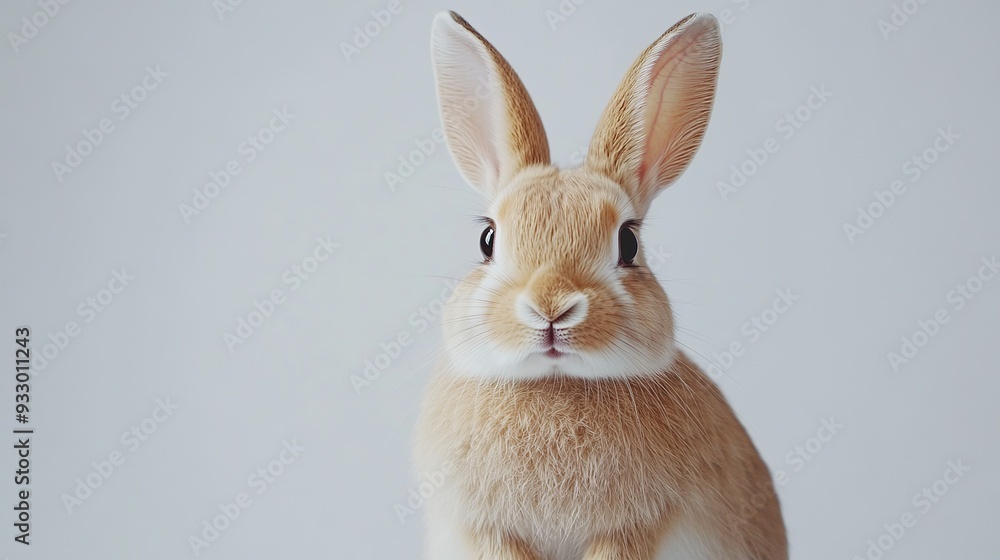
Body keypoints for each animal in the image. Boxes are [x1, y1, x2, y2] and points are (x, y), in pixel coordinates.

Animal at [413, 10, 788, 560]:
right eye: (487, 239)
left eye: (628, 243)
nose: (550, 306)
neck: (556, 382)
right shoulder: (490, 529)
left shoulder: (631, 528)